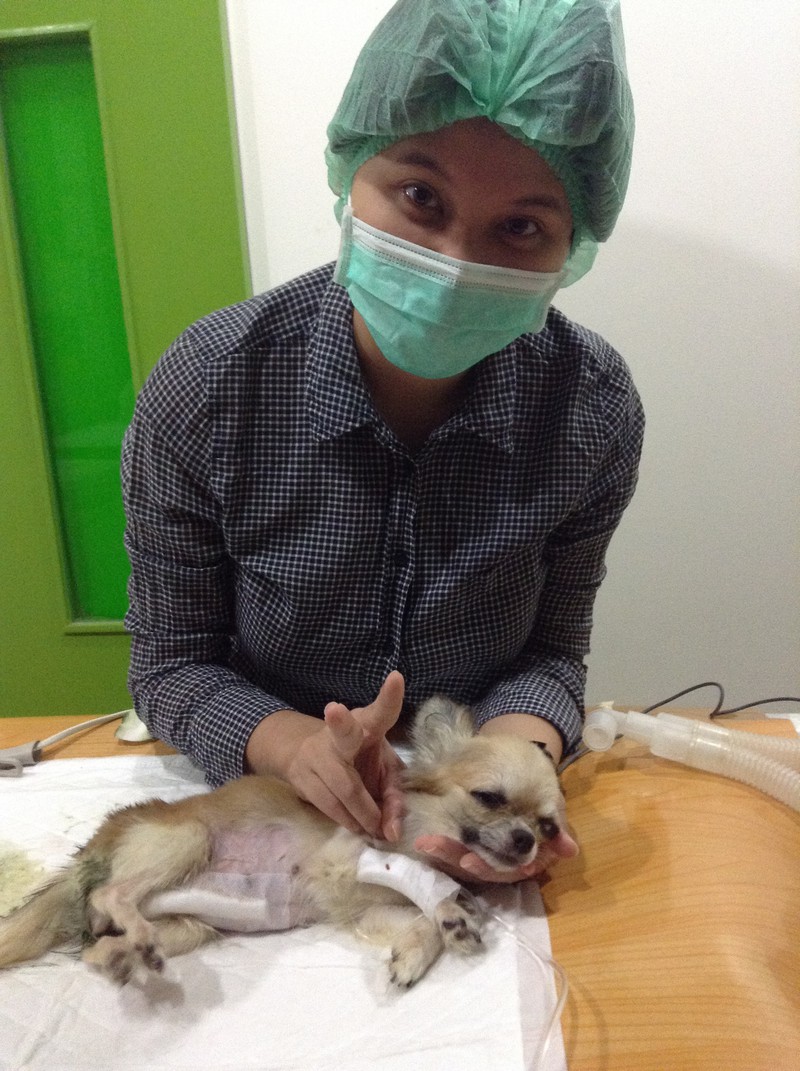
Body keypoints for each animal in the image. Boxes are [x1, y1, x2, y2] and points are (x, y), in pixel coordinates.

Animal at [0, 698, 573, 988]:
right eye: (489, 798)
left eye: (547, 827)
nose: (524, 840)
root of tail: (95, 849)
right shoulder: (353, 860)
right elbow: (427, 894)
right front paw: (451, 915)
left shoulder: (367, 911)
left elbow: (418, 920)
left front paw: (420, 948)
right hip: (187, 840)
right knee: (112, 895)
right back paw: (131, 937)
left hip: (188, 928)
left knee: (97, 948)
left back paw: (125, 959)